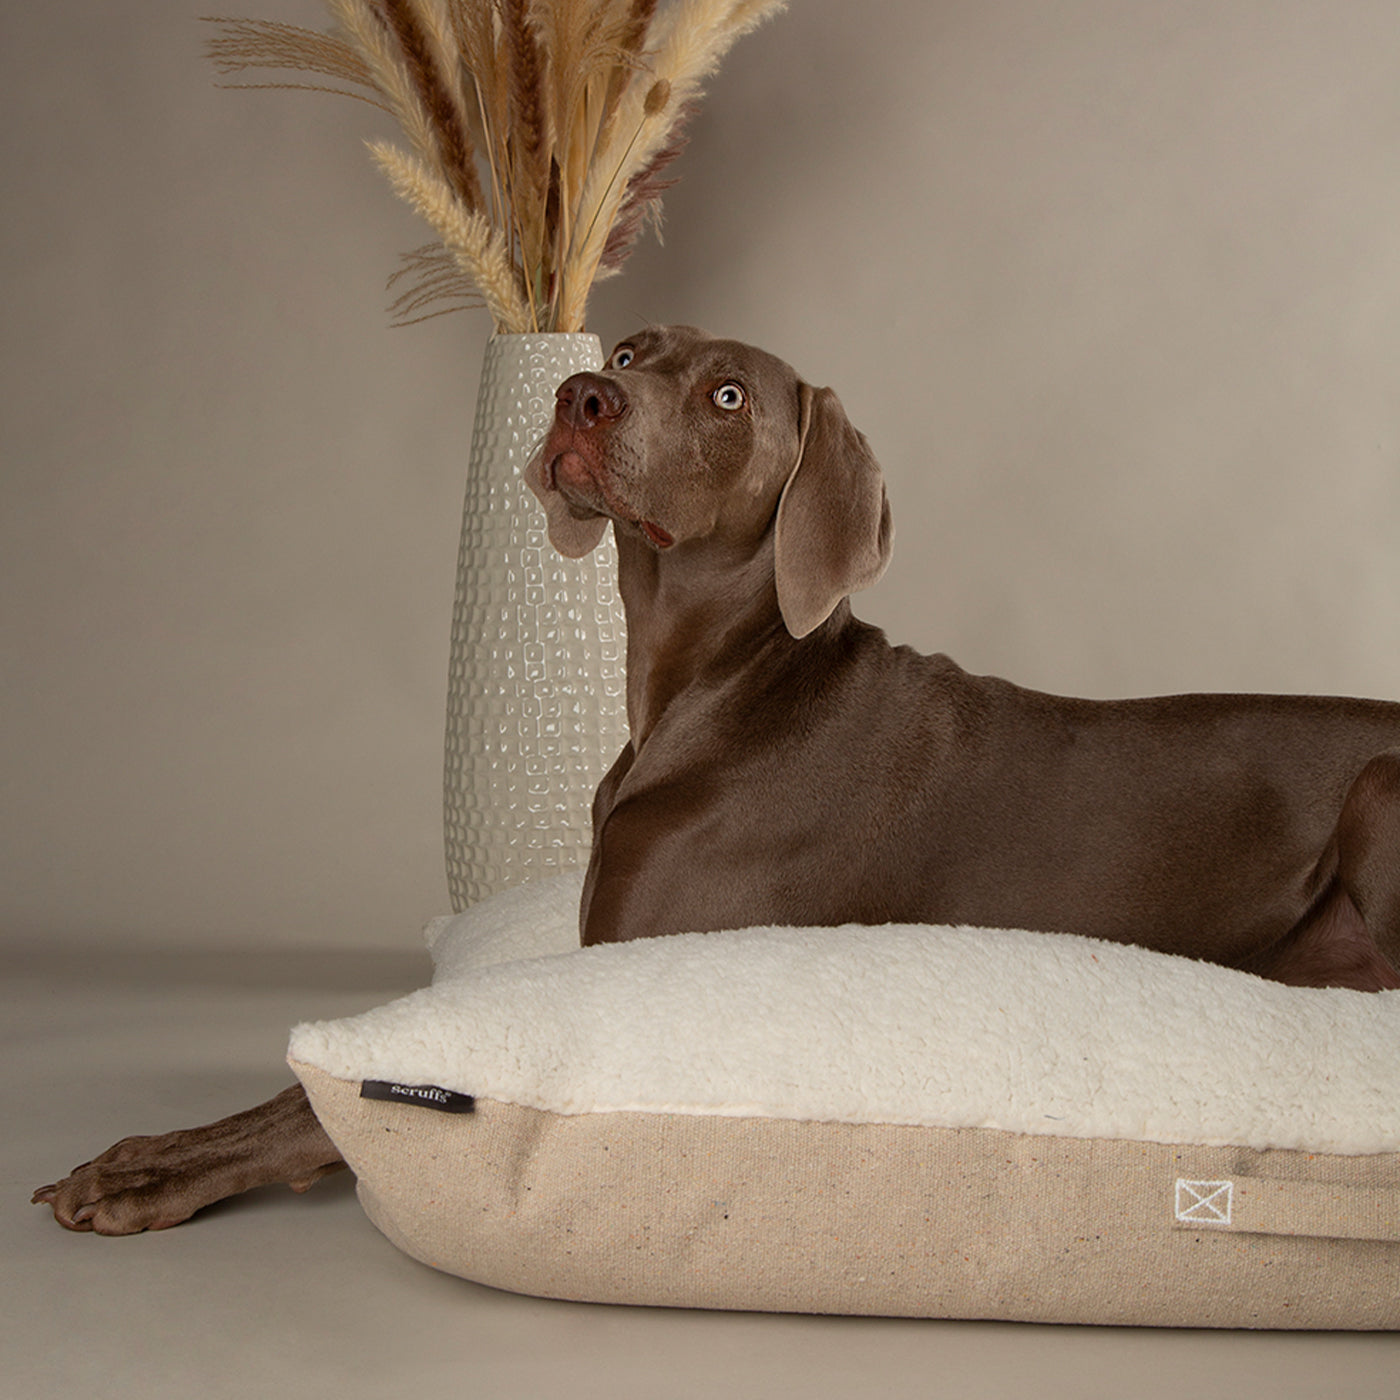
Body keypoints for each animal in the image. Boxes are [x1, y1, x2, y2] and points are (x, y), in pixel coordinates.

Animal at [34, 324, 1400, 1234]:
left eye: (730, 393)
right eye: (633, 345)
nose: (581, 394)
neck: (722, 682)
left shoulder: (627, 969)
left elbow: (316, 1100)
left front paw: (146, 1169)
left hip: (1382, 778)